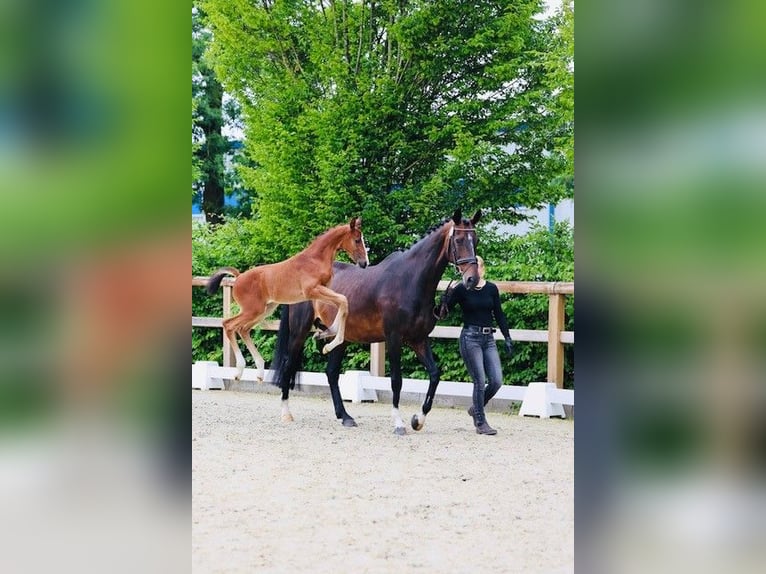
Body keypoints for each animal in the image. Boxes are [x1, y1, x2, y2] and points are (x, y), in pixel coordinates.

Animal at [206, 217, 369, 382]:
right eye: (357, 240)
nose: (364, 263)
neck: (315, 260)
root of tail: (239, 277)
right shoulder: (312, 291)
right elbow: (343, 300)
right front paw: (328, 343)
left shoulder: (320, 293)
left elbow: (343, 303)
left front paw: (325, 335)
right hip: (252, 310)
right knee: (229, 325)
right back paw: (239, 371)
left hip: (264, 310)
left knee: (243, 329)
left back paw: (259, 372)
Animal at [273, 209, 481, 434]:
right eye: (458, 240)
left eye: (475, 240)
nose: (472, 280)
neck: (409, 281)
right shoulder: (394, 338)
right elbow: (396, 380)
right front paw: (398, 423)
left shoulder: (419, 339)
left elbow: (434, 375)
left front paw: (418, 420)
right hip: (299, 333)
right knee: (288, 366)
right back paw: (286, 414)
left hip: (339, 339)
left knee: (331, 373)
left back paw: (345, 417)